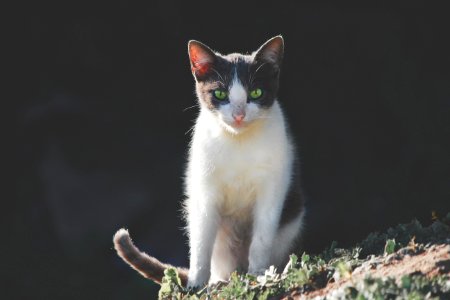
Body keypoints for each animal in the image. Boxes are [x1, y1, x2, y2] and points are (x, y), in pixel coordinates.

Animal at [114, 35, 308, 288]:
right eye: (220, 94)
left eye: (256, 93)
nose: (238, 115)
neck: (238, 141)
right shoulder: (205, 190)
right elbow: (201, 243)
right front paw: (196, 284)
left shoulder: (273, 186)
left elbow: (262, 238)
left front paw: (259, 274)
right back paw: (219, 281)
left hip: (291, 218)